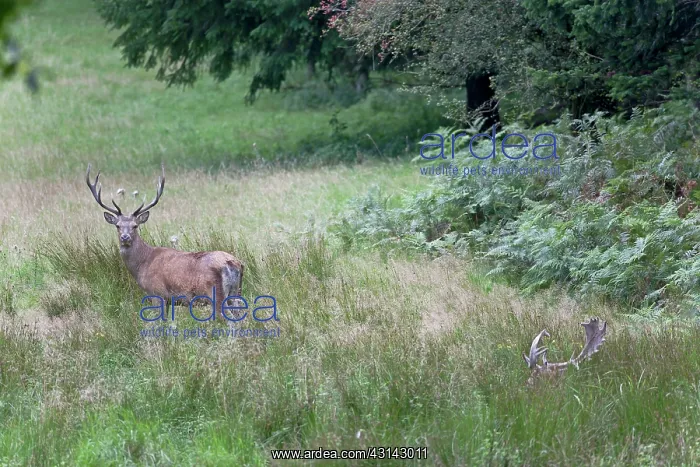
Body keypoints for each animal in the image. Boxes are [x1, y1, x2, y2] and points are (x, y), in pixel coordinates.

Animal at [86, 163, 244, 320]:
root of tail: (233, 263)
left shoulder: (157, 293)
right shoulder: (169, 300)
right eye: (117, 226)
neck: (143, 264)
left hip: (214, 292)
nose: (125, 237)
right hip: (236, 292)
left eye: (135, 226)